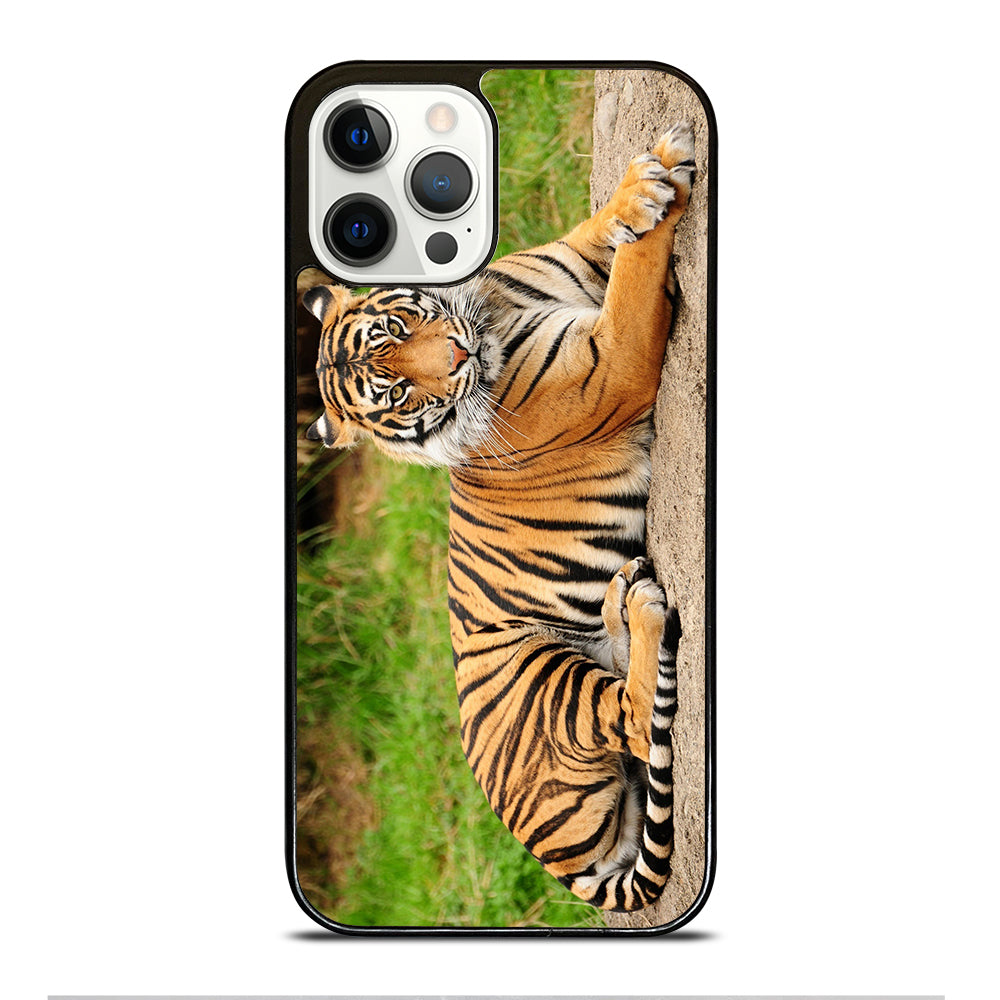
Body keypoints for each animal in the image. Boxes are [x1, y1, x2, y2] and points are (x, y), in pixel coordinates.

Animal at [302, 122, 696, 912]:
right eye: (394, 392)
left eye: (398, 324)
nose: (456, 358)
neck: (490, 311)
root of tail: (559, 864)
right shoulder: (612, 362)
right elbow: (636, 275)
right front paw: (659, 186)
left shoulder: (568, 266)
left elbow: (603, 231)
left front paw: (644, 184)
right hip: (541, 677)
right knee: (637, 720)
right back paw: (640, 608)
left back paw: (621, 598)